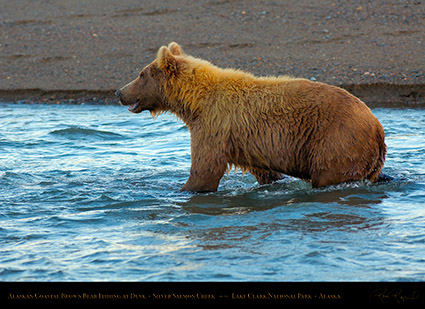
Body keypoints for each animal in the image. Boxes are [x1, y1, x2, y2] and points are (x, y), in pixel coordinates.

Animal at [115, 42, 384, 191]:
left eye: (140, 74)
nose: (119, 92)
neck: (195, 102)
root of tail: (377, 127)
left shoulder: (214, 126)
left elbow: (205, 169)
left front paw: (184, 189)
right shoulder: (248, 142)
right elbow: (267, 173)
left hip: (335, 141)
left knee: (329, 174)